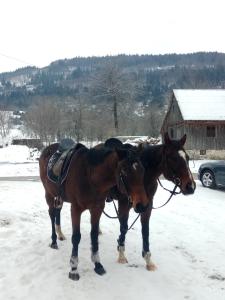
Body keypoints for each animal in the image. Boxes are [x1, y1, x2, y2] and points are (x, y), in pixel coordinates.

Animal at [39, 142, 148, 280]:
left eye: (142, 170)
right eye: (124, 171)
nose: (142, 206)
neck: (90, 176)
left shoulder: (97, 208)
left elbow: (94, 235)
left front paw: (97, 264)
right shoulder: (76, 209)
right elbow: (76, 237)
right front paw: (73, 268)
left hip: (59, 197)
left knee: (57, 212)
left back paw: (60, 235)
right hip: (49, 194)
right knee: (52, 214)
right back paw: (54, 241)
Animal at [106, 132, 196, 270]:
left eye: (187, 157)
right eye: (173, 158)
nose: (190, 187)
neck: (143, 177)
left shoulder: (147, 206)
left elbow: (145, 230)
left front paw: (148, 260)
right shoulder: (124, 205)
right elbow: (124, 227)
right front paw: (121, 254)